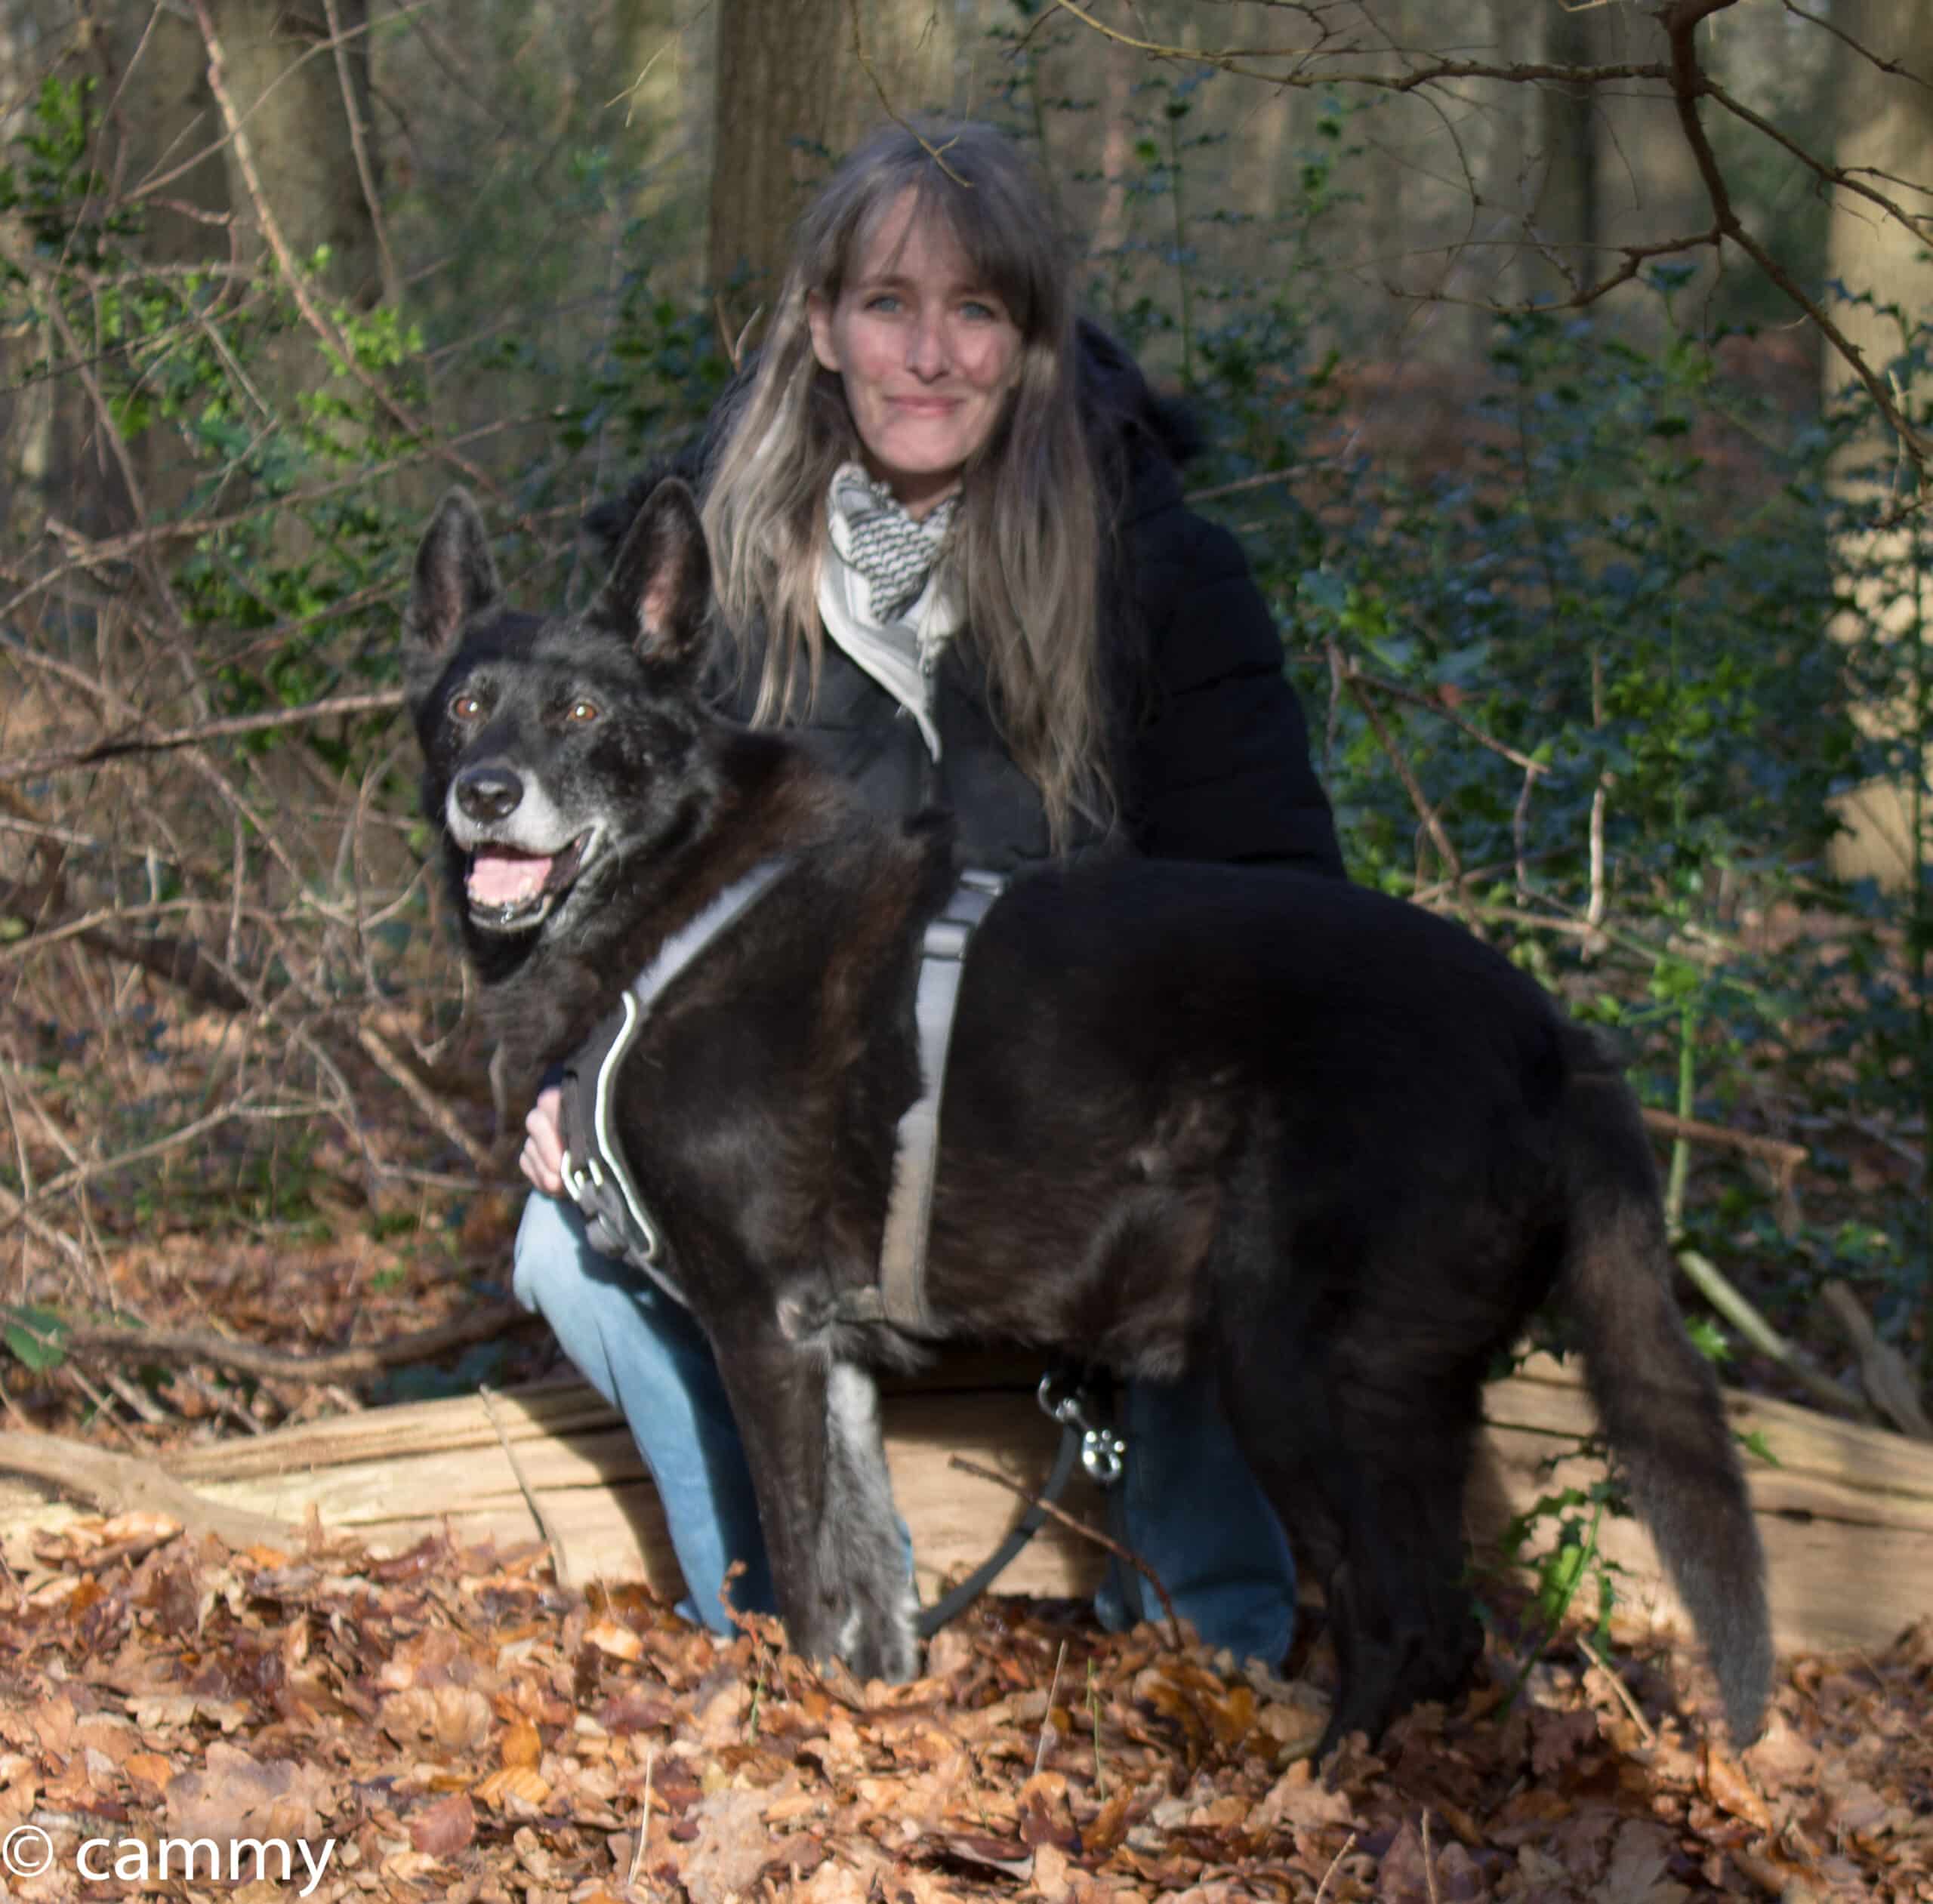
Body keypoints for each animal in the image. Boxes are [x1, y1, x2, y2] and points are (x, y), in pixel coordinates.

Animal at [408, 479, 1770, 1755]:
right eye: (467, 706)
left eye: (582, 714)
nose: (487, 792)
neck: (688, 893)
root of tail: (1556, 1039)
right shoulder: (831, 1356)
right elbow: (866, 1584)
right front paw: (860, 1728)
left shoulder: (763, 1329)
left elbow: (796, 1569)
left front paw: (779, 1728)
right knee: (1446, 1630)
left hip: (1300, 1370)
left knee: (1410, 1622)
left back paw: (1319, 1785)